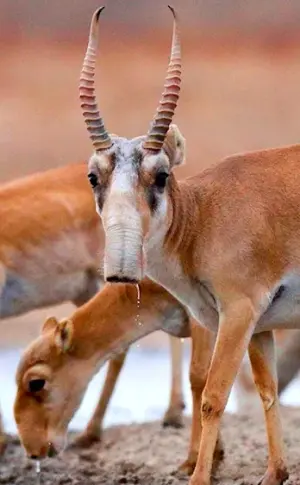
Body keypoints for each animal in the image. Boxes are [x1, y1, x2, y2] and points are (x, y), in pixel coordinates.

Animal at [79, 4, 300, 484]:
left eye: (161, 175)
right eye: (94, 176)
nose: (121, 268)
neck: (203, 217)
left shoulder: (238, 313)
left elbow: (214, 397)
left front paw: (199, 475)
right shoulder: (261, 325)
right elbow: (267, 390)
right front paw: (274, 472)